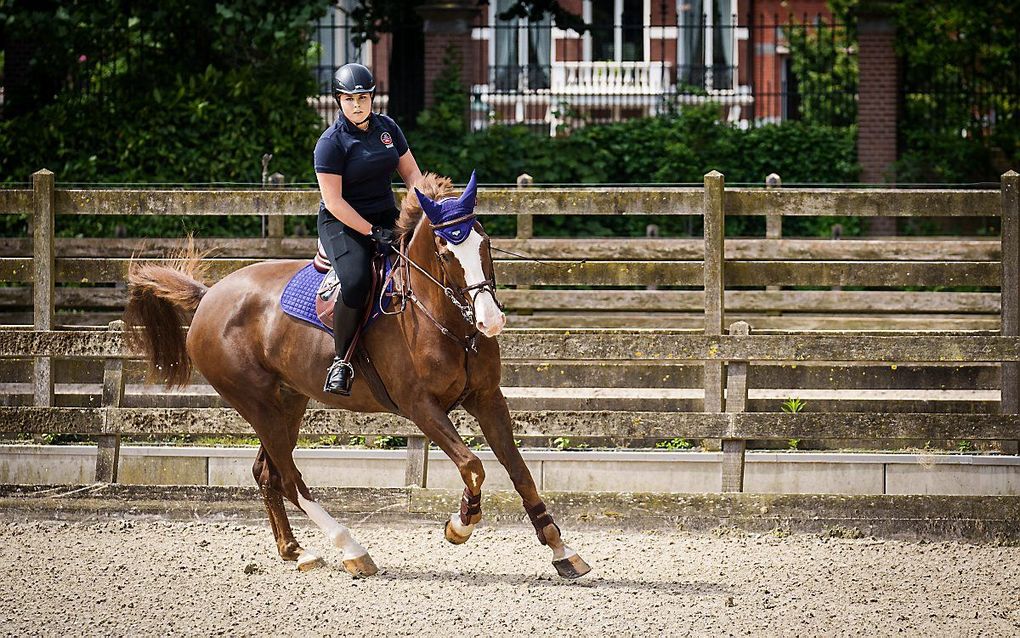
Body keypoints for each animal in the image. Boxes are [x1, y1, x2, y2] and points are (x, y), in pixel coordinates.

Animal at [124, 172, 595, 575]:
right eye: (445, 253)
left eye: (486, 242)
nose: (490, 320)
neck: (444, 321)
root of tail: (208, 297)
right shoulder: (420, 407)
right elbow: (473, 466)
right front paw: (460, 525)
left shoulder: (487, 398)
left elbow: (519, 470)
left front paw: (562, 550)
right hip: (255, 403)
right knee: (290, 478)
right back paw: (351, 549)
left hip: (287, 403)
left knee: (267, 472)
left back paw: (296, 551)